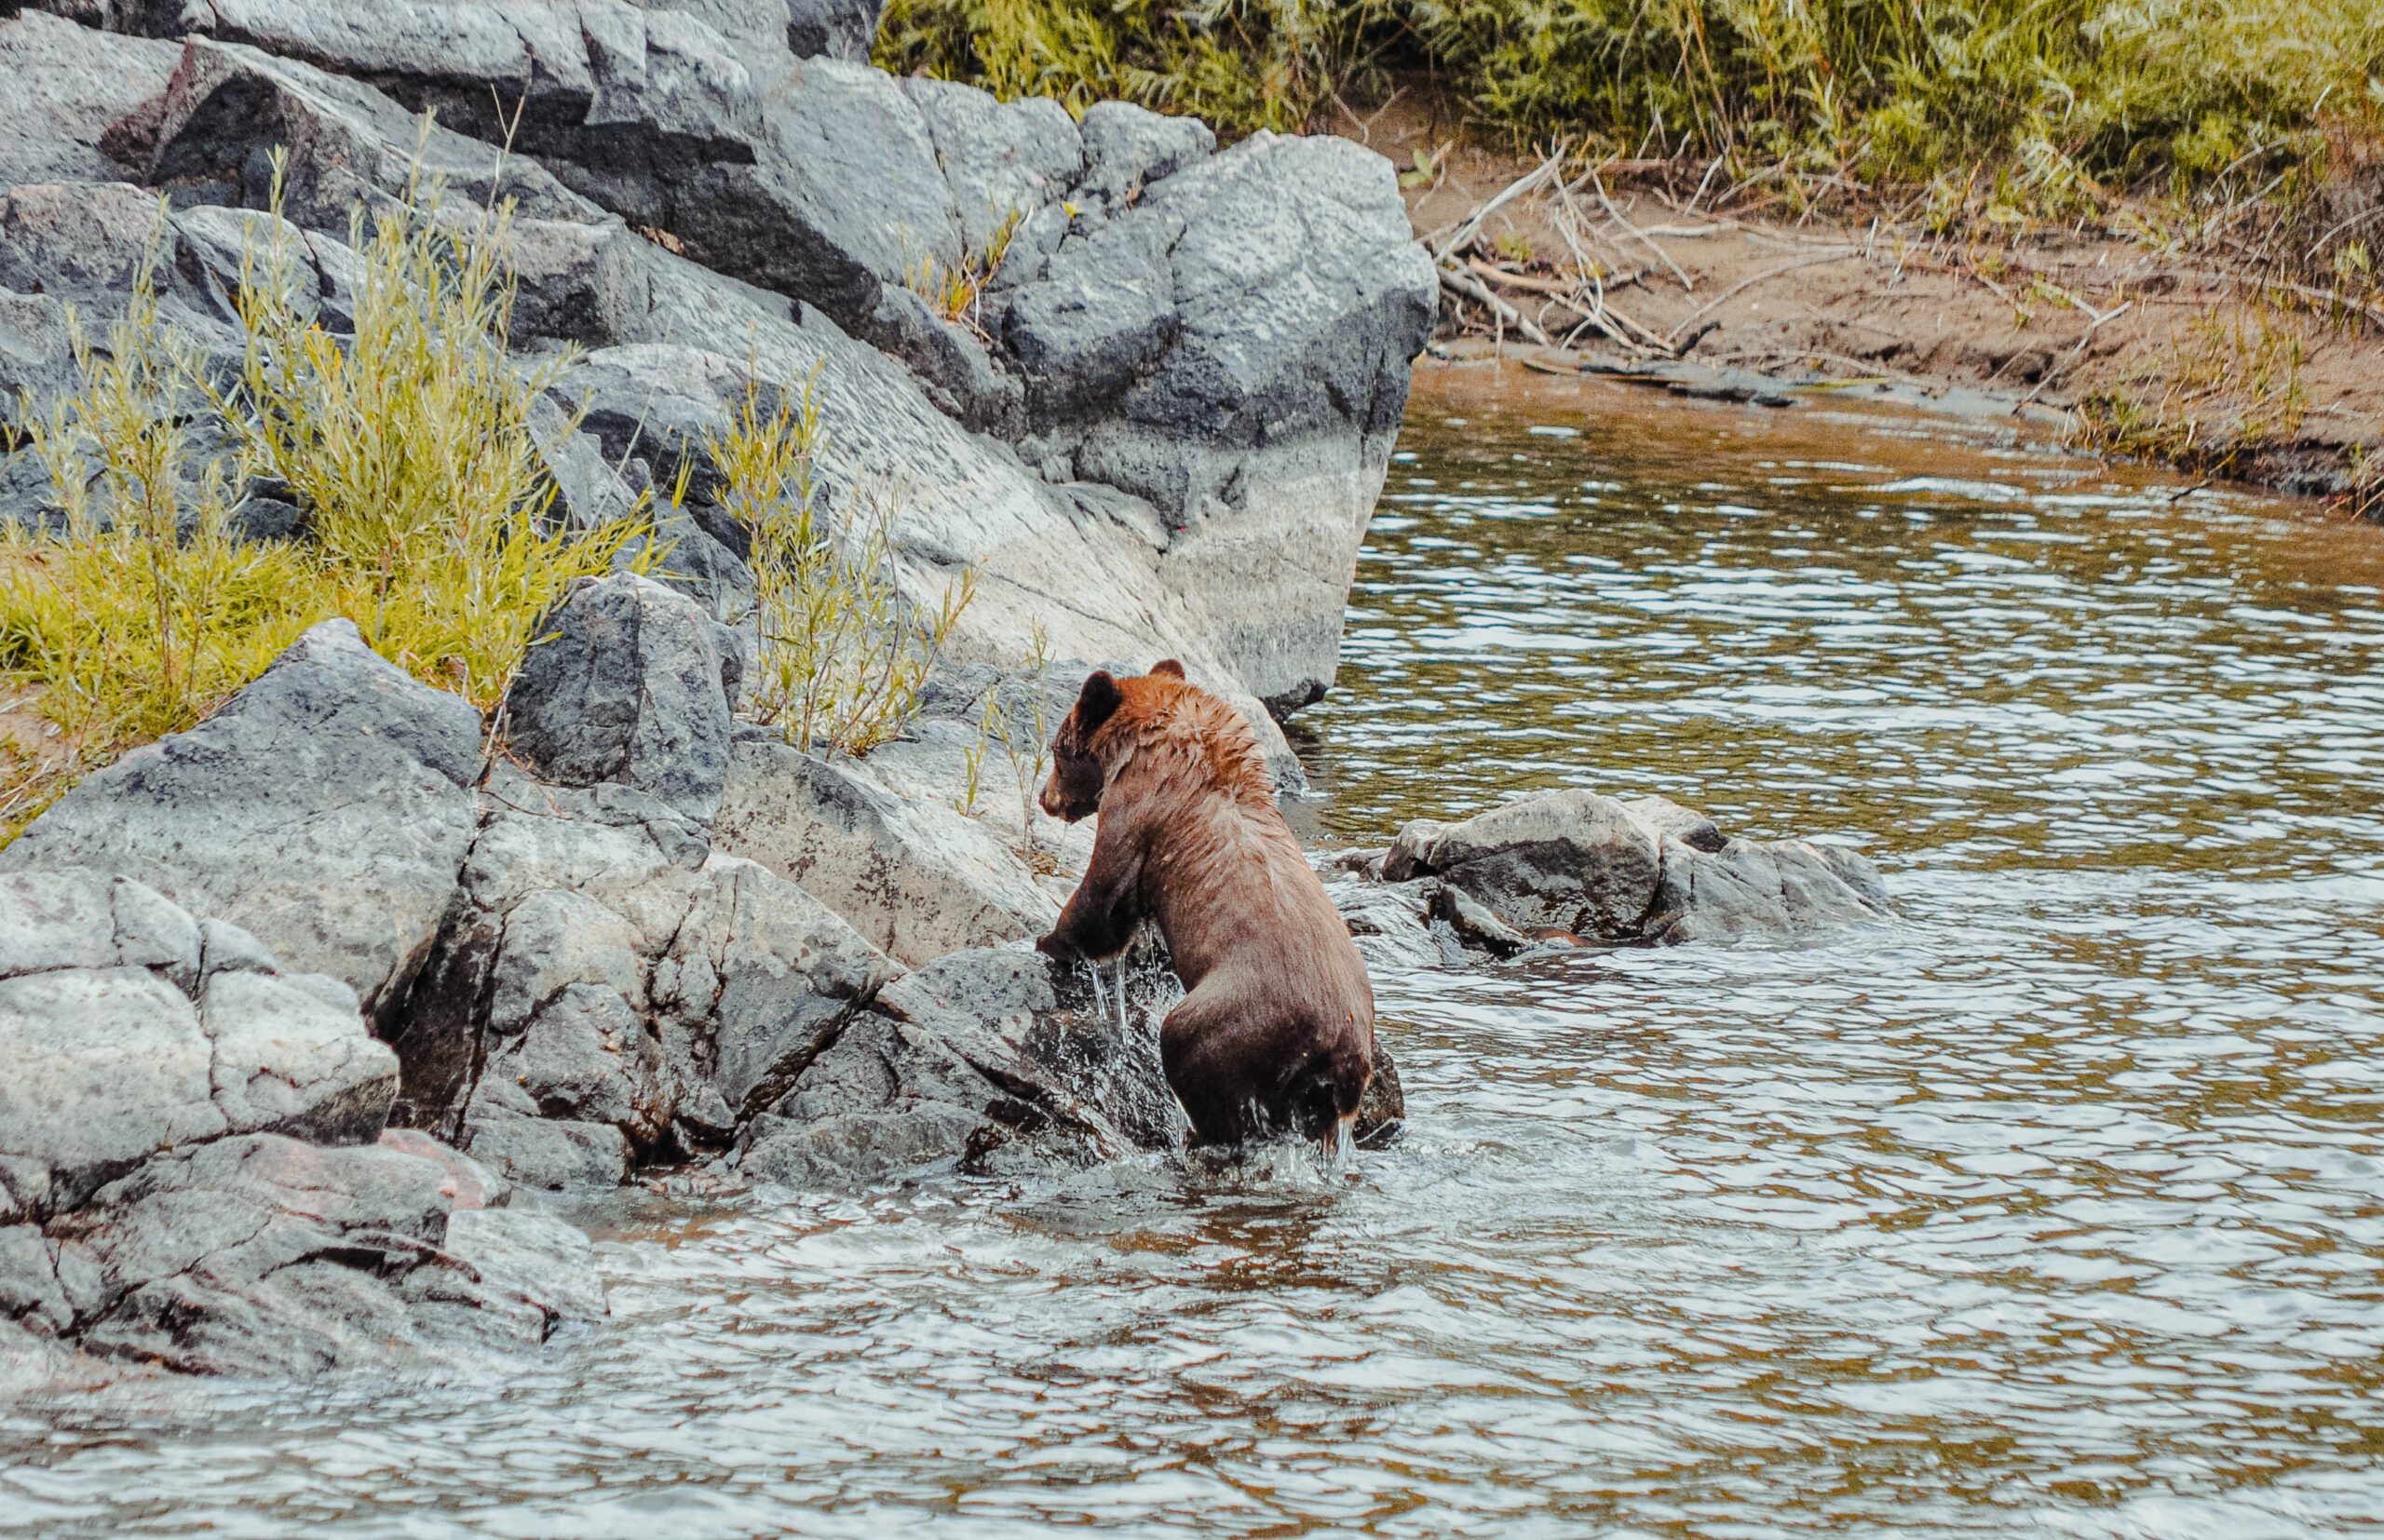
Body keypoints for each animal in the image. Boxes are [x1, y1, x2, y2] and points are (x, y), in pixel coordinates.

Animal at [1029, 657, 1382, 1154]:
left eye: (1059, 751)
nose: (1046, 798)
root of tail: (1343, 1046)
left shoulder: (1139, 808)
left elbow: (1106, 892)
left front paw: (1052, 941)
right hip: (1325, 1085)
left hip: (1237, 1015)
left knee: (1189, 1049)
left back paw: (1199, 1134)